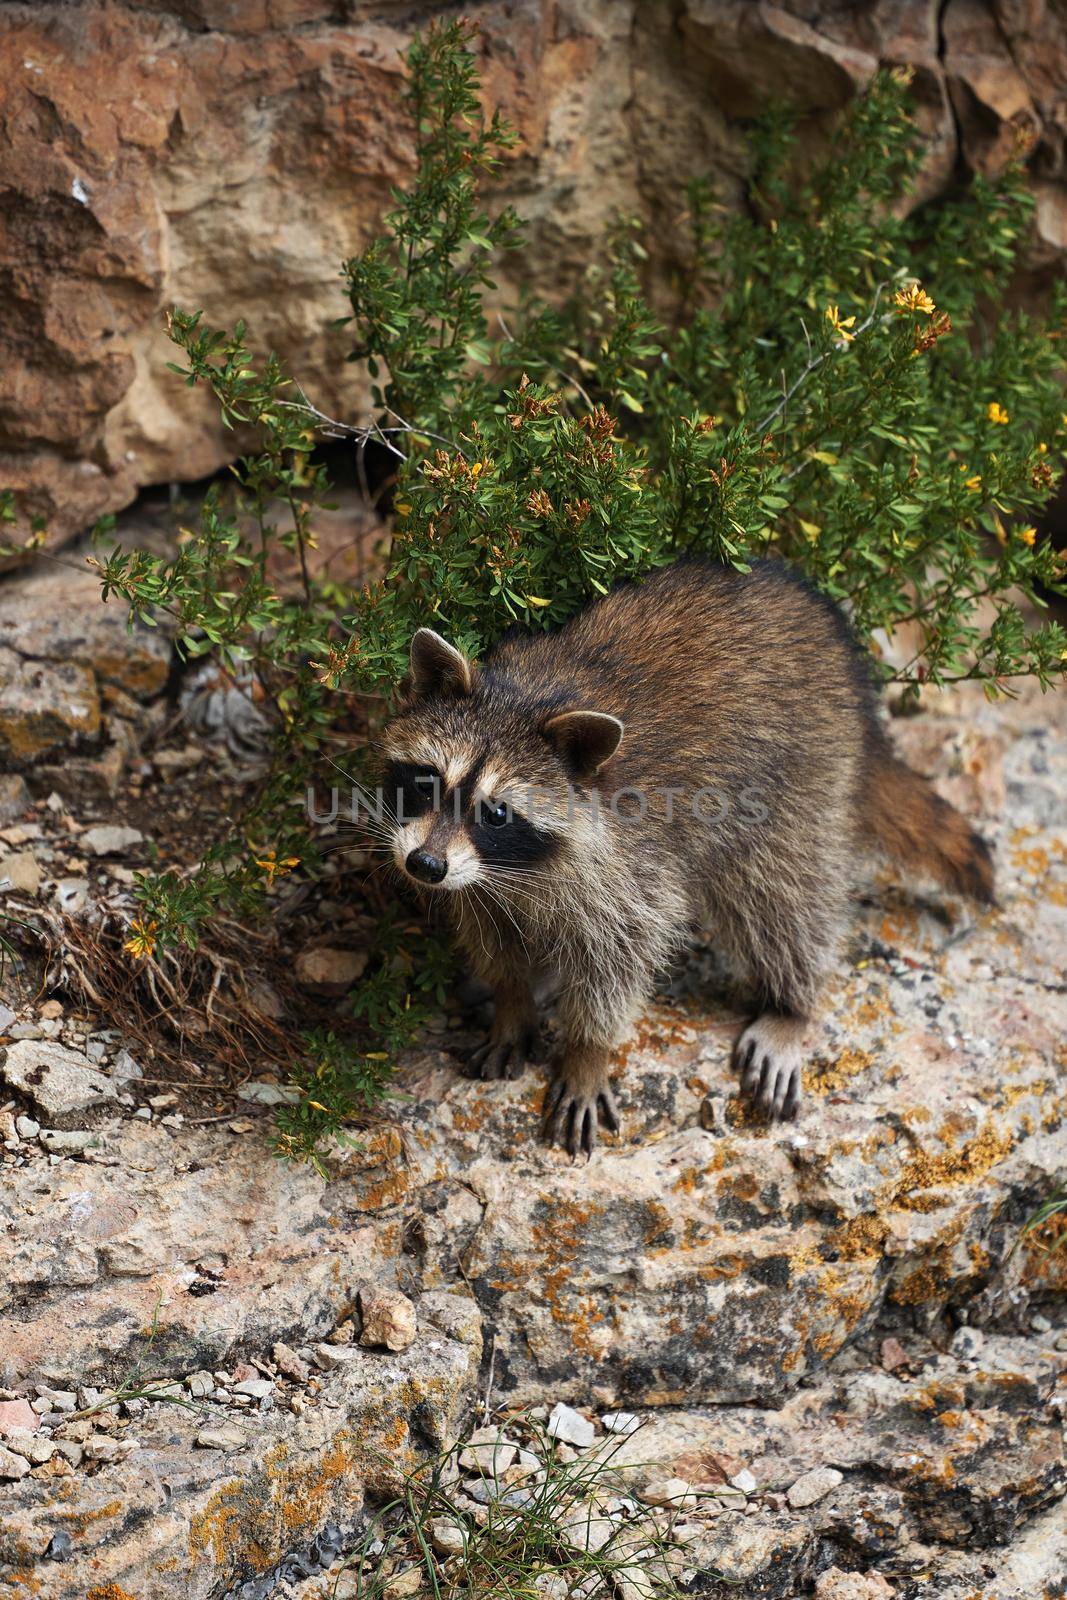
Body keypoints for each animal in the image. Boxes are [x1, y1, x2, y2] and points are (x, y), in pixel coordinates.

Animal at [377, 560, 991, 1152]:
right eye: (428, 782)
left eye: (497, 813)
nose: (424, 867)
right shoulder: (476, 876)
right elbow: (491, 929)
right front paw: (512, 1001)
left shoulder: (629, 862)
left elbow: (620, 956)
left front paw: (587, 1050)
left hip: (800, 772)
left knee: (783, 896)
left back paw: (790, 1003)